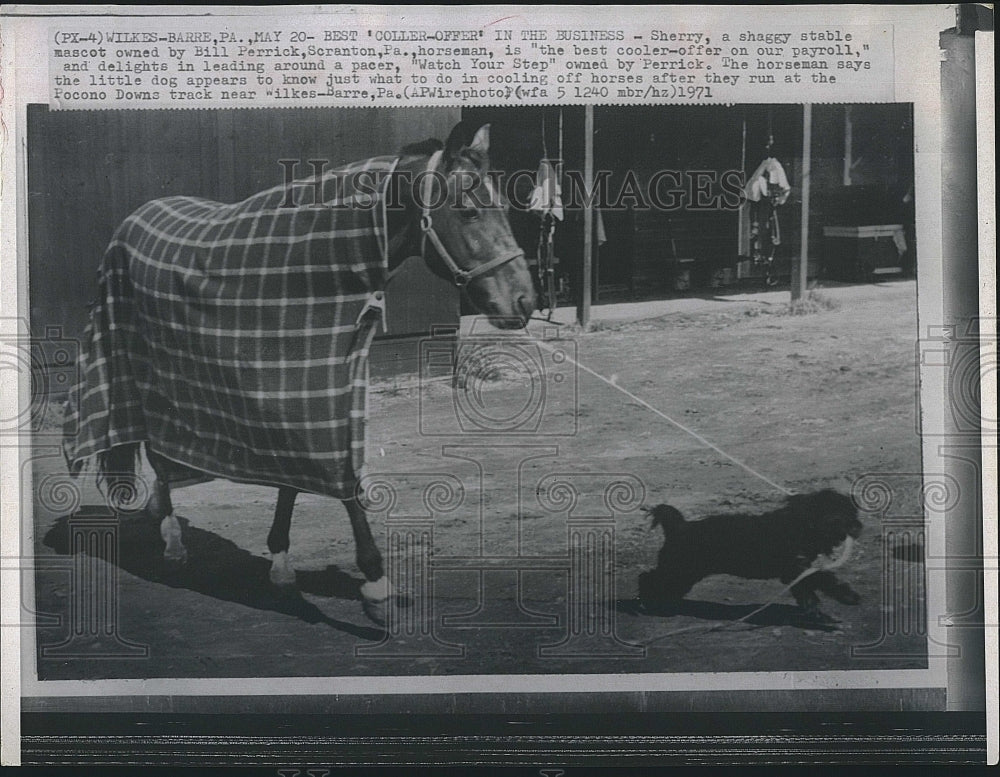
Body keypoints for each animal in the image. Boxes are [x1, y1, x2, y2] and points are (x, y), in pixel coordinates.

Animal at [62, 123, 540, 624]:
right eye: (468, 211)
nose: (524, 301)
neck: (314, 267)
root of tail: (133, 218)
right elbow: (343, 481)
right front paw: (377, 583)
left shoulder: (303, 390)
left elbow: (293, 481)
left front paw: (281, 563)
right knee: (155, 449)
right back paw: (173, 540)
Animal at [636, 488, 864, 620]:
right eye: (841, 516)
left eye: (853, 513)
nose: (858, 527)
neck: (798, 525)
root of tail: (679, 527)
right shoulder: (796, 567)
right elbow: (825, 579)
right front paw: (849, 596)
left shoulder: (795, 572)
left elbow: (806, 591)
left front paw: (811, 608)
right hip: (678, 570)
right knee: (647, 578)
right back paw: (646, 604)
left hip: (683, 574)